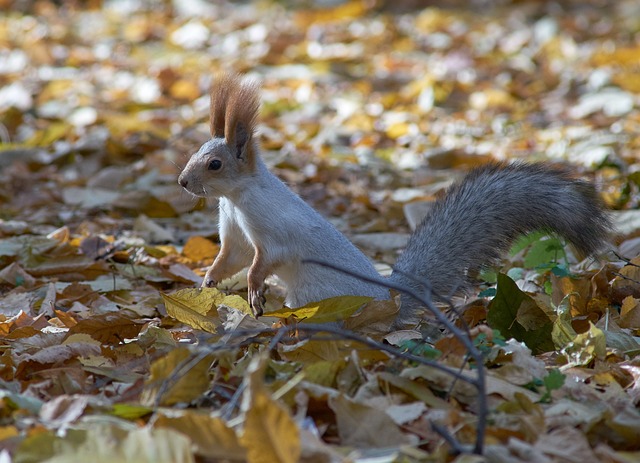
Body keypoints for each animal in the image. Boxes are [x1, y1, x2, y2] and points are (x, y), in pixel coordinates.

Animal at [178, 73, 611, 327]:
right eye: (197, 150)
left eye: (215, 164)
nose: (182, 182)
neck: (237, 197)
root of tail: (387, 302)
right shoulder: (235, 231)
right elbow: (231, 256)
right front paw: (209, 279)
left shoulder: (273, 229)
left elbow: (263, 260)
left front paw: (253, 288)